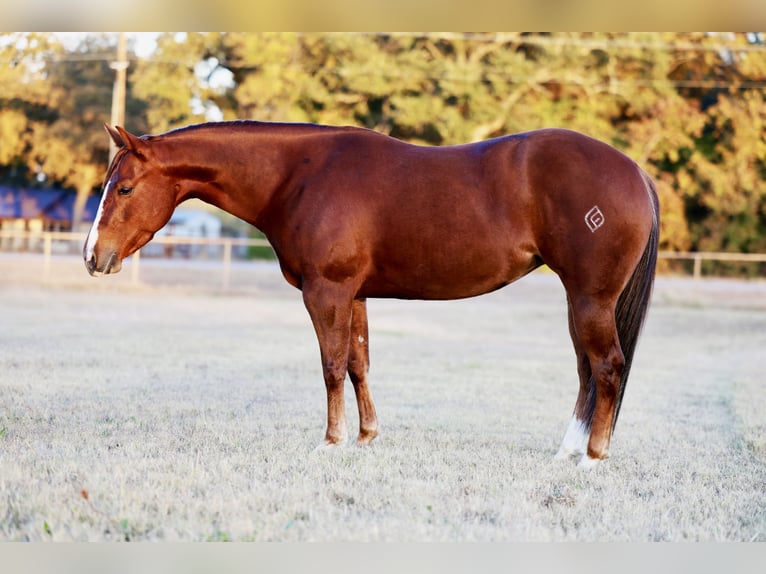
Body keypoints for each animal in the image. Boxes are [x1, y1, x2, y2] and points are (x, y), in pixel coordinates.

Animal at [84, 121, 659, 470]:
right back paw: (567, 451)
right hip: (578, 301)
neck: (298, 175)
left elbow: (331, 365)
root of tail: (633, 170)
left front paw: (332, 441)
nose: (93, 256)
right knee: (587, 371)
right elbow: (358, 362)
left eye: (125, 188)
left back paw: (592, 458)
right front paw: (365, 436)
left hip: (590, 299)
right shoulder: (354, 296)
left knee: (607, 366)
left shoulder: (326, 292)